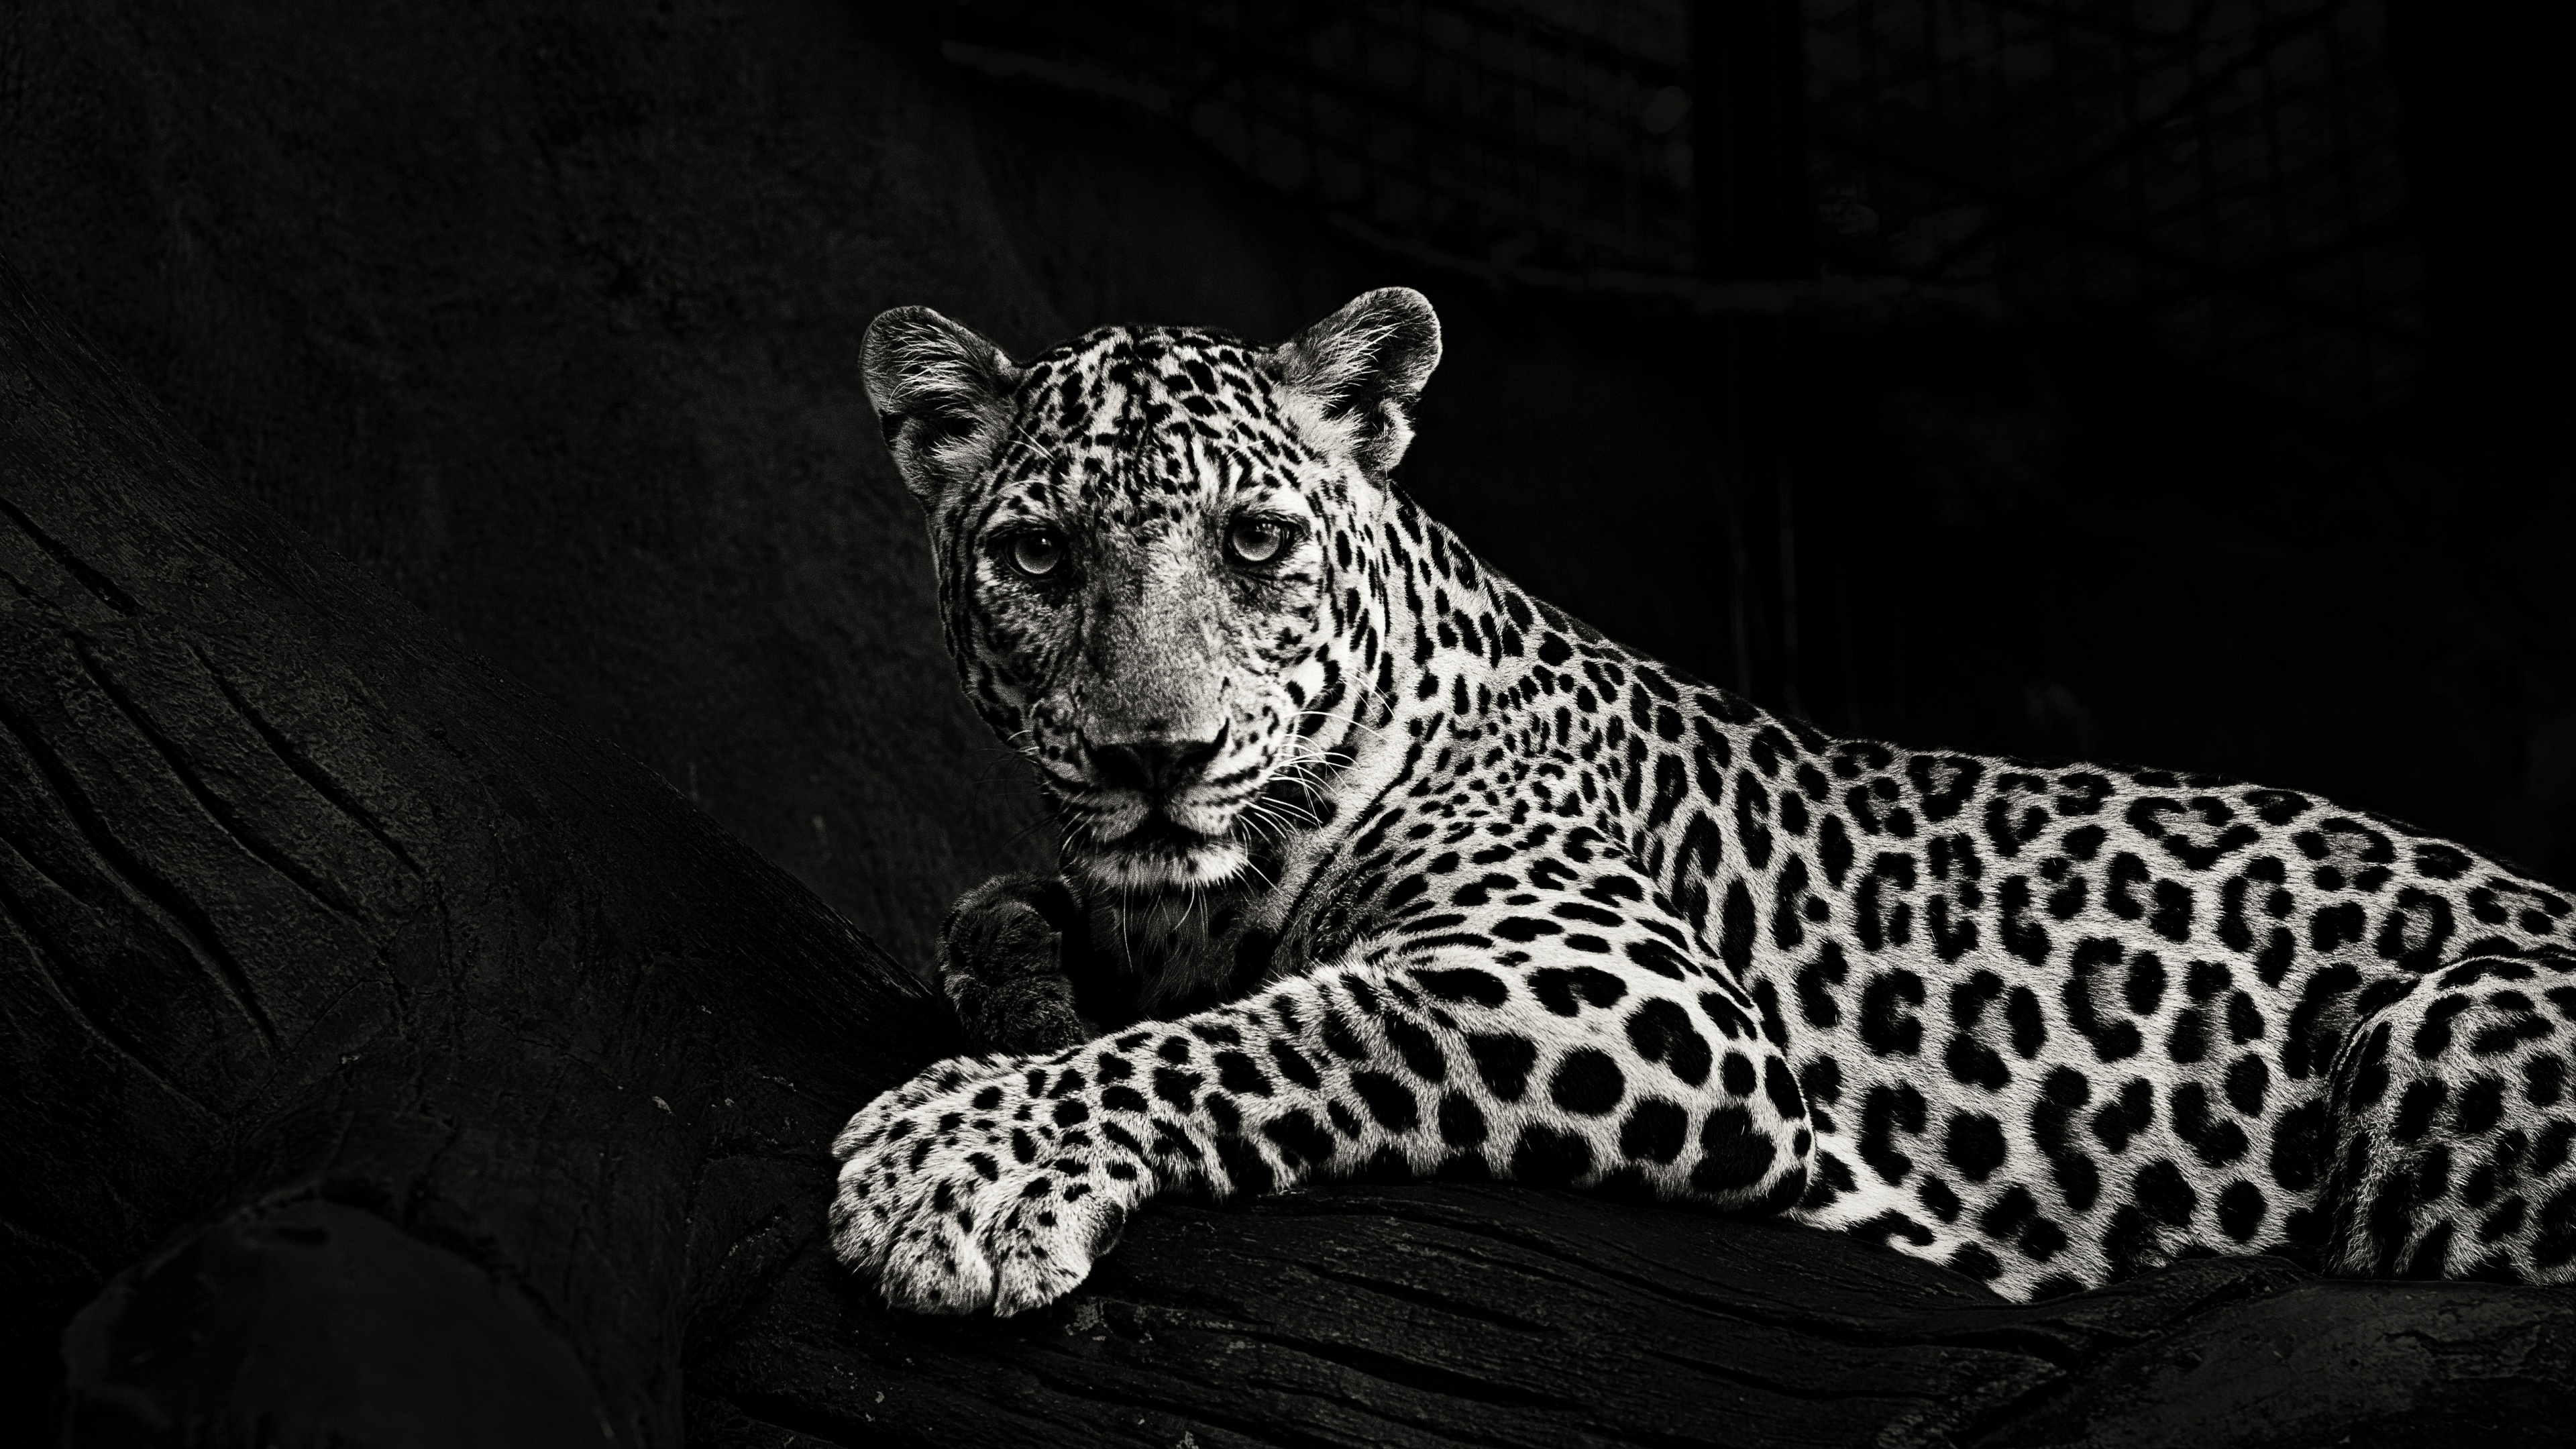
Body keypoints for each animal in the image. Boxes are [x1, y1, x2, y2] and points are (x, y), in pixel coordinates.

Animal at [830, 286, 2576, 1316]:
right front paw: (1026, 996)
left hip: (2445, 1030)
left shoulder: (1613, 981)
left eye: (1254, 544)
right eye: (1037, 556)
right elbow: (1006, 924)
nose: (1156, 755)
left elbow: (1283, 1029)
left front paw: (953, 1160)